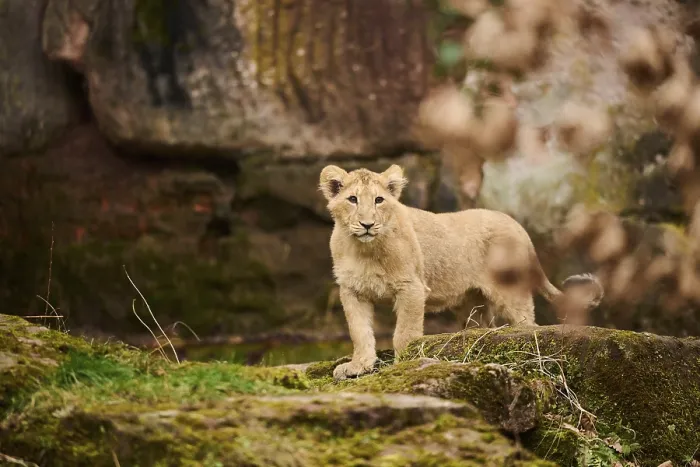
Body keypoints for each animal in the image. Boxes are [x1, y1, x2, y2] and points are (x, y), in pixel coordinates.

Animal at [319, 164, 604, 380]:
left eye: (379, 200)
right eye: (352, 199)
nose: (367, 224)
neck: (363, 250)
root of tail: (517, 226)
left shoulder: (412, 287)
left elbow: (405, 333)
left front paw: (404, 365)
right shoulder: (352, 291)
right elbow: (359, 332)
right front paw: (359, 366)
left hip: (511, 292)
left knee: (528, 325)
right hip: (472, 304)